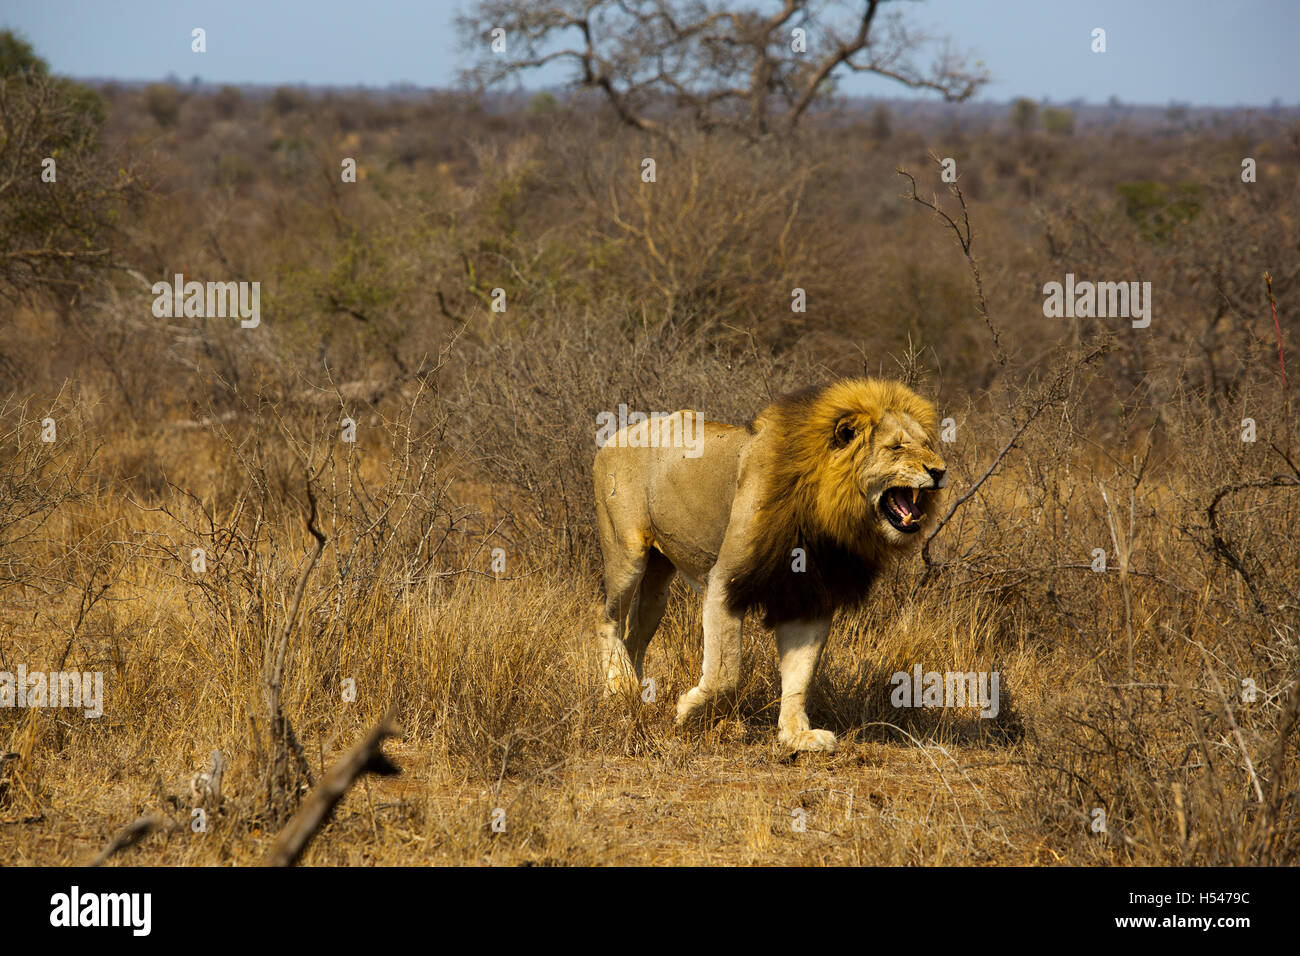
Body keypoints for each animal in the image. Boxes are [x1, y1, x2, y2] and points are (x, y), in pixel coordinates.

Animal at [592, 378, 947, 751]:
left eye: (926, 444)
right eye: (896, 447)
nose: (939, 471)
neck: (827, 514)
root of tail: (615, 436)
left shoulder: (808, 597)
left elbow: (800, 676)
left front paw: (797, 734)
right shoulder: (725, 581)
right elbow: (725, 673)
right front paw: (690, 711)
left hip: (658, 583)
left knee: (634, 634)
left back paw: (635, 692)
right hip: (627, 553)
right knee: (604, 616)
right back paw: (620, 686)